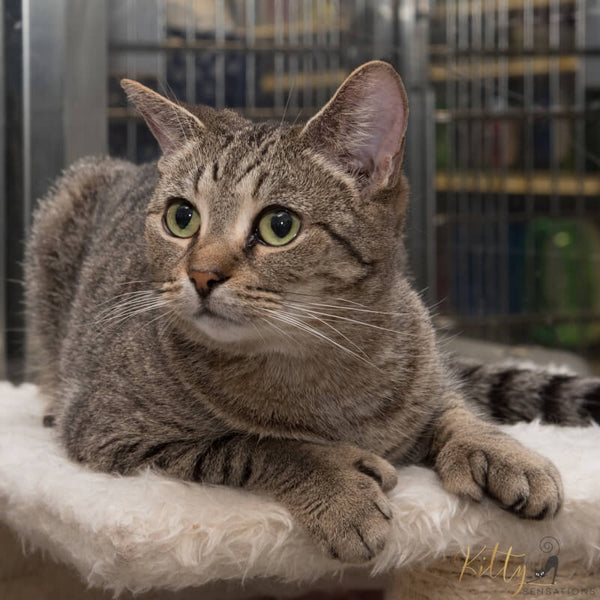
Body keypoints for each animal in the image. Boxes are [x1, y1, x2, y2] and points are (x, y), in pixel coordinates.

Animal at [25, 61, 596, 564]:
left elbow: (454, 408)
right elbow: (254, 444)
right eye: (181, 218)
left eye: (279, 225)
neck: (320, 368)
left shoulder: (427, 373)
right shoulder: (110, 428)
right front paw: (338, 485)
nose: (202, 275)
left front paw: (502, 450)